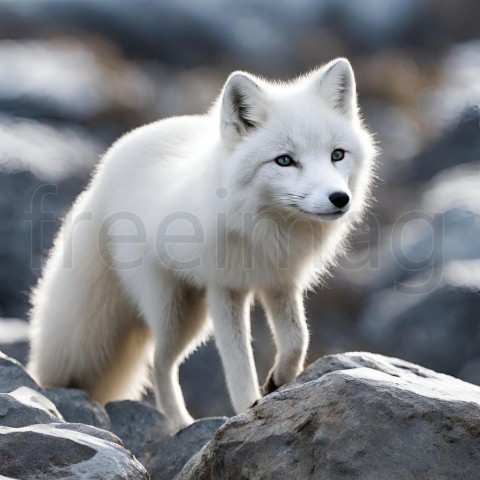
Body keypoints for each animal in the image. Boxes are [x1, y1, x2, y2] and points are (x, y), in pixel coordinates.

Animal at [28, 58, 376, 434]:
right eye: (285, 160)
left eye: (337, 155)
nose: (339, 198)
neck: (266, 226)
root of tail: (100, 178)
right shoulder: (224, 288)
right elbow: (238, 362)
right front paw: (249, 408)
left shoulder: (279, 281)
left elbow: (298, 339)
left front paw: (279, 379)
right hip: (174, 311)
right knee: (159, 362)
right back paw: (180, 423)